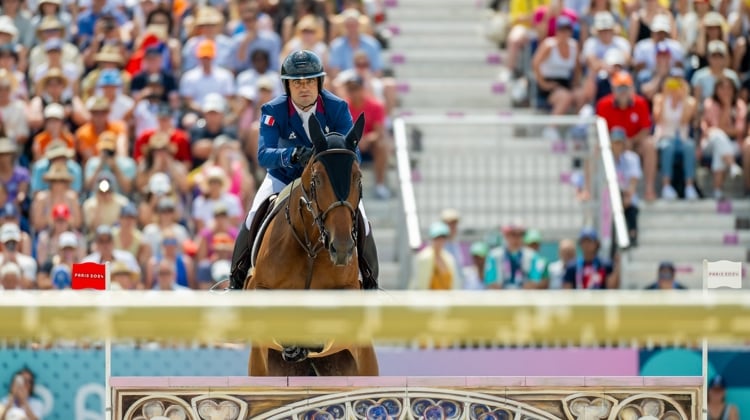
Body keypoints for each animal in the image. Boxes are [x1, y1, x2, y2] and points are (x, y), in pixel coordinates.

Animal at [245, 113, 378, 376]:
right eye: (317, 179)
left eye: (358, 177)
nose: (342, 249)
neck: (311, 250)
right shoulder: (260, 289)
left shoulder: (349, 290)